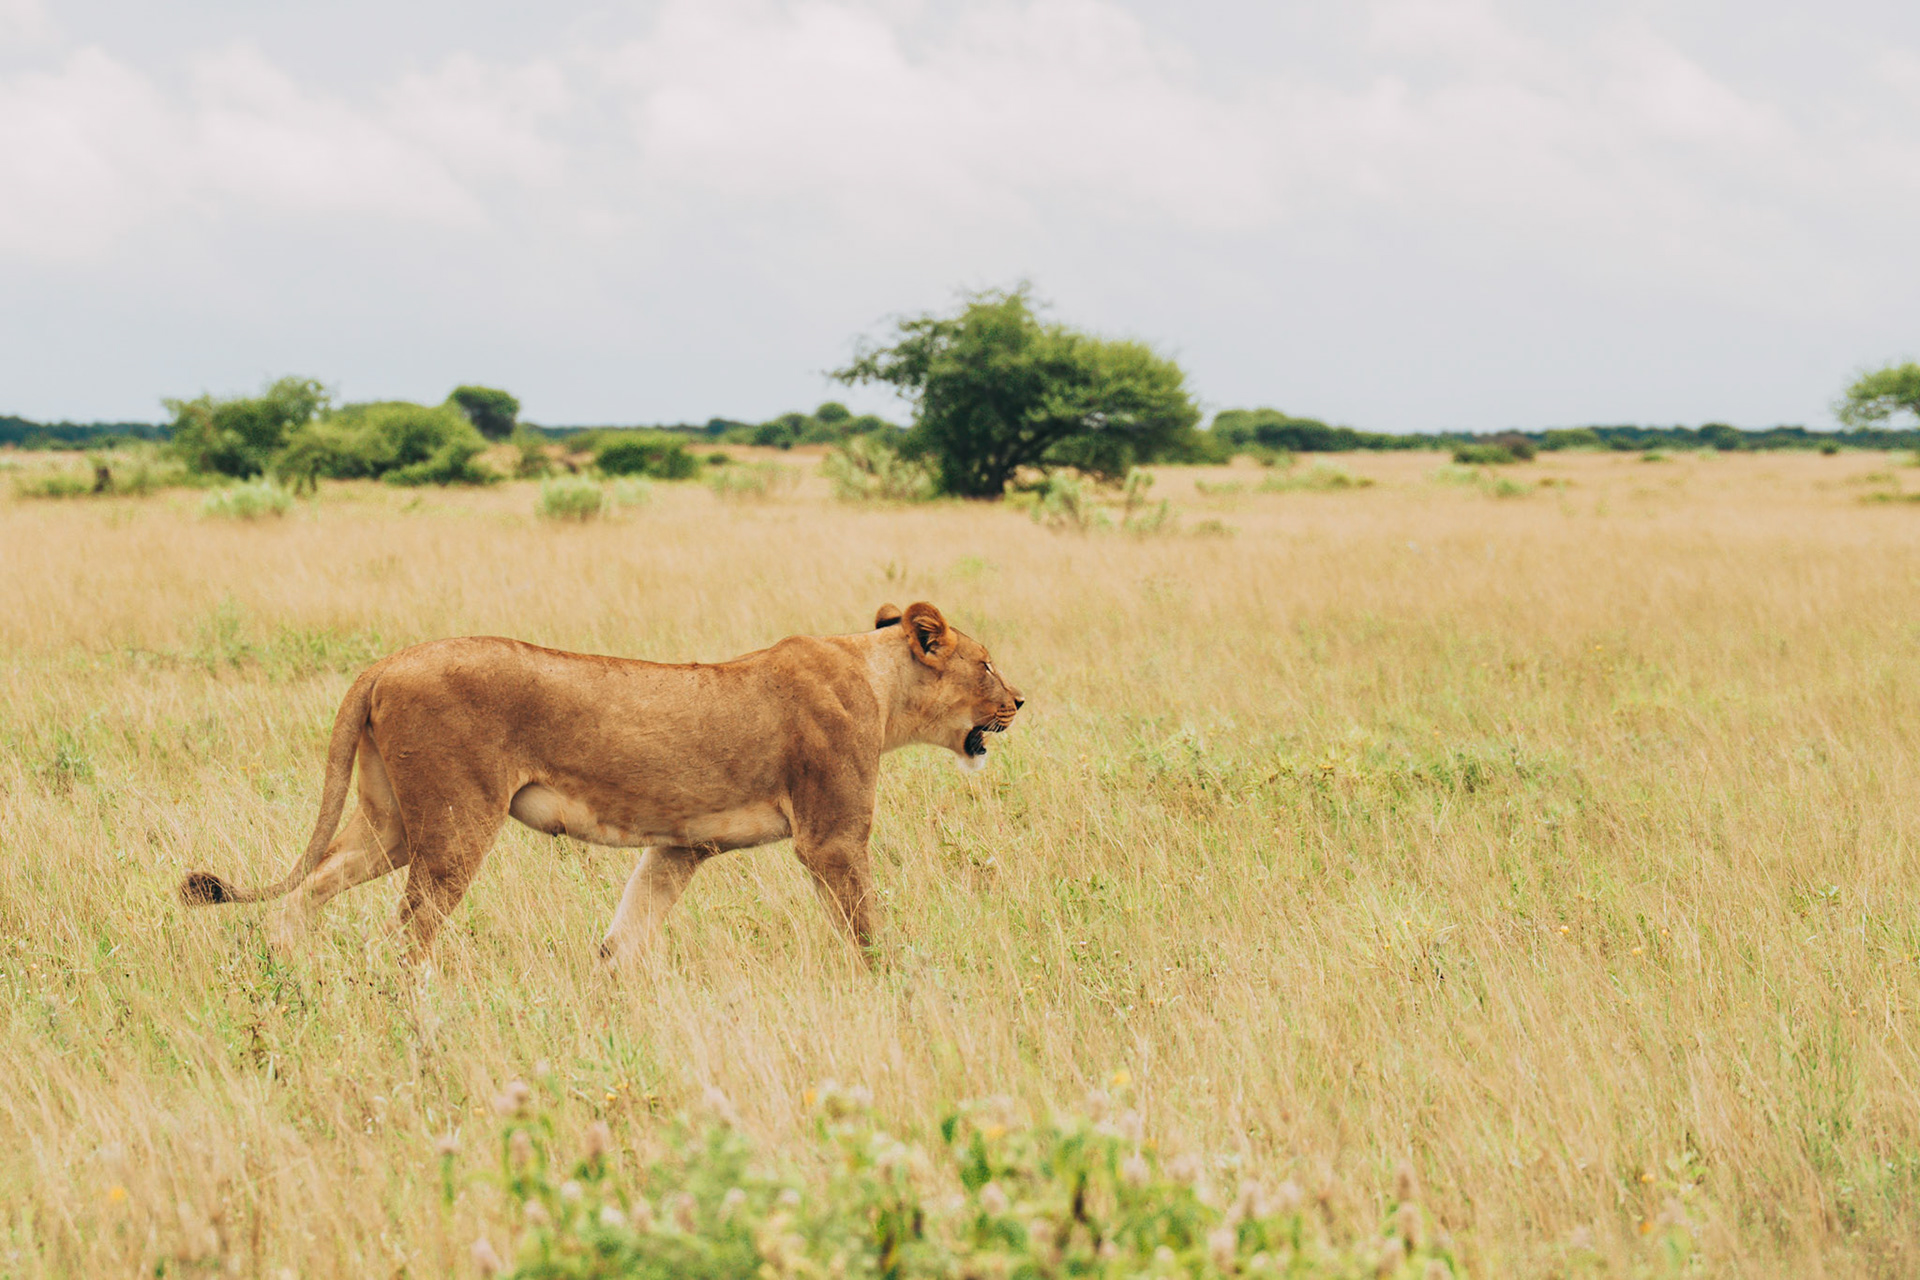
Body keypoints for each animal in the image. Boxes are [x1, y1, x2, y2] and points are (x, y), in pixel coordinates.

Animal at [178, 602, 1022, 964]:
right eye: (985, 663)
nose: (1020, 700)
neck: (880, 686)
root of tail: (385, 663)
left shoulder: (682, 846)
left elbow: (628, 930)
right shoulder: (832, 838)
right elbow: (865, 925)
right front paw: (890, 985)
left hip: (391, 824)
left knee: (310, 891)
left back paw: (286, 971)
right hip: (455, 823)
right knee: (405, 936)